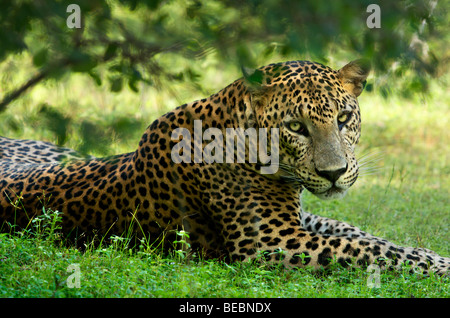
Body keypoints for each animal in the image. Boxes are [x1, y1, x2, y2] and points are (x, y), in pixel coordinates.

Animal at [0, 60, 448, 276]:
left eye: (343, 118)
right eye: (295, 127)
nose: (335, 174)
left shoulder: (301, 219)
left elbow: (368, 237)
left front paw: (432, 251)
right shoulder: (272, 241)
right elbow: (368, 251)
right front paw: (442, 267)